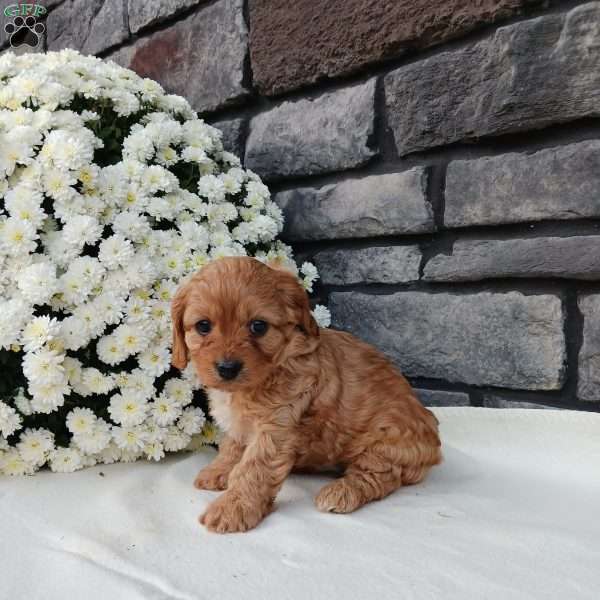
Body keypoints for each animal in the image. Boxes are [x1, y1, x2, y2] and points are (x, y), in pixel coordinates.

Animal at [171, 258, 442, 536]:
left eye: (258, 326)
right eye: (203, 326)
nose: (227, 368)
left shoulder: (278, 426)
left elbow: (254, 468)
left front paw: (233, 507)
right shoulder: (240, 426)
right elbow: (232, 447)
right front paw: (218, 471)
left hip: (388, 441)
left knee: (379, 476)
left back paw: (339, 493)